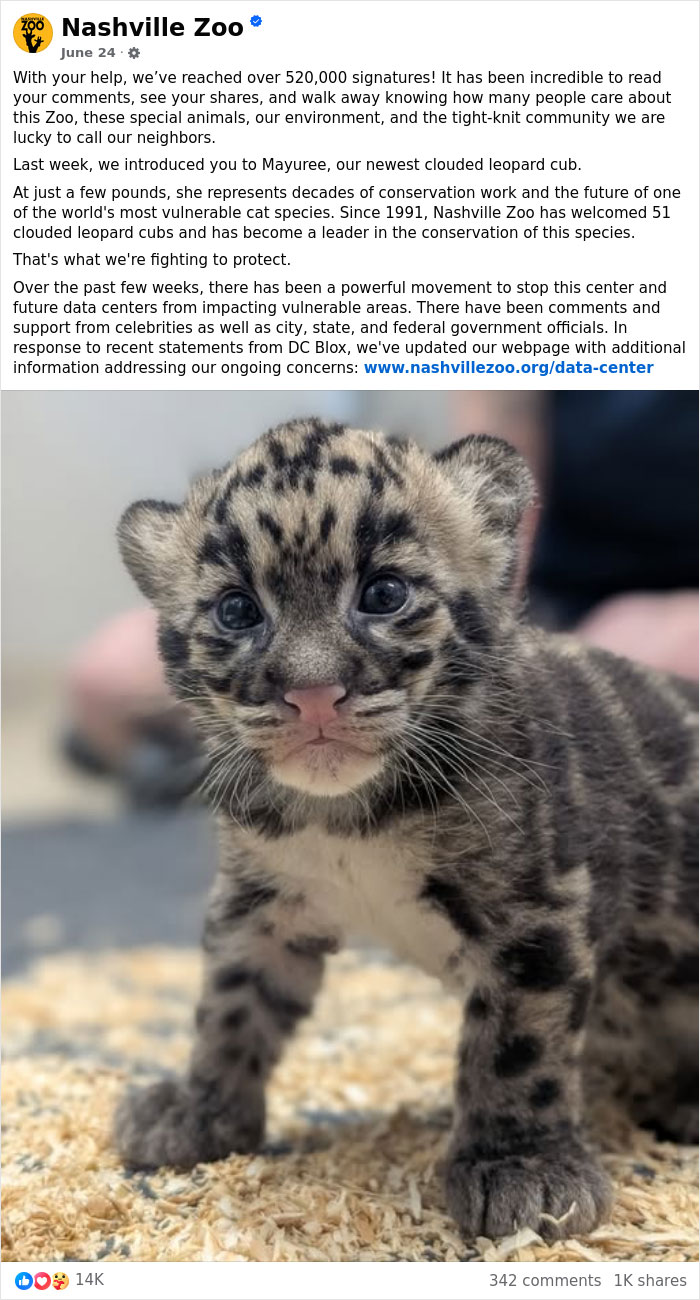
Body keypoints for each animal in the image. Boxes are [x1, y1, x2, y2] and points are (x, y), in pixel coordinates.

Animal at [114, 418, 698, 1243]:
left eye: (383, 594)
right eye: (236, 610)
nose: (312, 693)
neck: (346, 817)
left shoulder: (536, 910)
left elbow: (517, 1044)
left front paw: (521, 1168)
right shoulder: (259, 904)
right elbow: (231, 1005)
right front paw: (201, 1109)